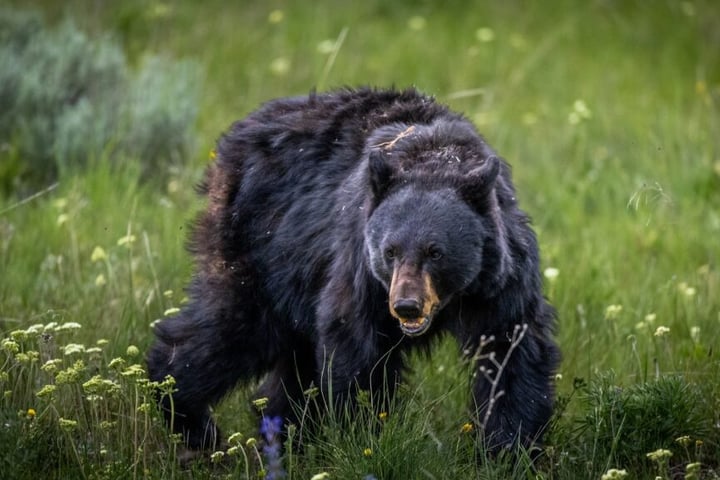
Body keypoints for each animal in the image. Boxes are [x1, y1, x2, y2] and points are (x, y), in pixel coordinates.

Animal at [146, 87, 560, 456]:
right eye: (390, 251)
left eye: (435, 252)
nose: (406, 306)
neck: (436, 160)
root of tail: (230, 142)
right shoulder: (360, 267)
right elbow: (357, 348)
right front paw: (361, 434)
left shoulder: (501, 279)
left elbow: (512, 351)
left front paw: (509, 448)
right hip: (260, 249)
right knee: (233, 328)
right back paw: (189, 417)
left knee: (290, 360)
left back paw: (283, 435)